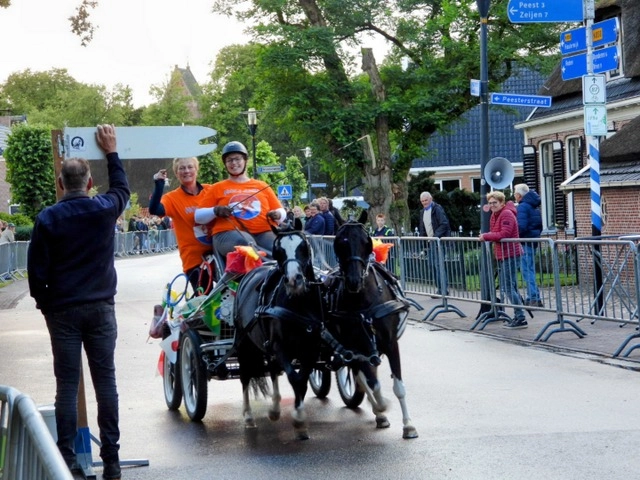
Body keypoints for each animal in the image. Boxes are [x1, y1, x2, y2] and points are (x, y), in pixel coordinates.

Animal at [233, 228, 324, 440]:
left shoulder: (311, 349)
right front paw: (299, 420)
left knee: (273, 369)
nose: (293, 280)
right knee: (245, 375)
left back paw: (275, 407)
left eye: (304, 247)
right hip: (244, 343)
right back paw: (249, 416)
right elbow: (294, 378)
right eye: (278, 251)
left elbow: (302, 380)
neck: (299, 306)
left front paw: (300, 421)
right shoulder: (280, 347)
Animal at [324, 221, 418, 439]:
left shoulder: (390, 344)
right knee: (362, 377)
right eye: (339, 243)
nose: (353, 281)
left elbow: (398, 386)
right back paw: (378, 412)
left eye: (366, 242)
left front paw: (408, 425)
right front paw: (381, 406)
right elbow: (372, 383)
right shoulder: (355, 348)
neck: (364, 305)